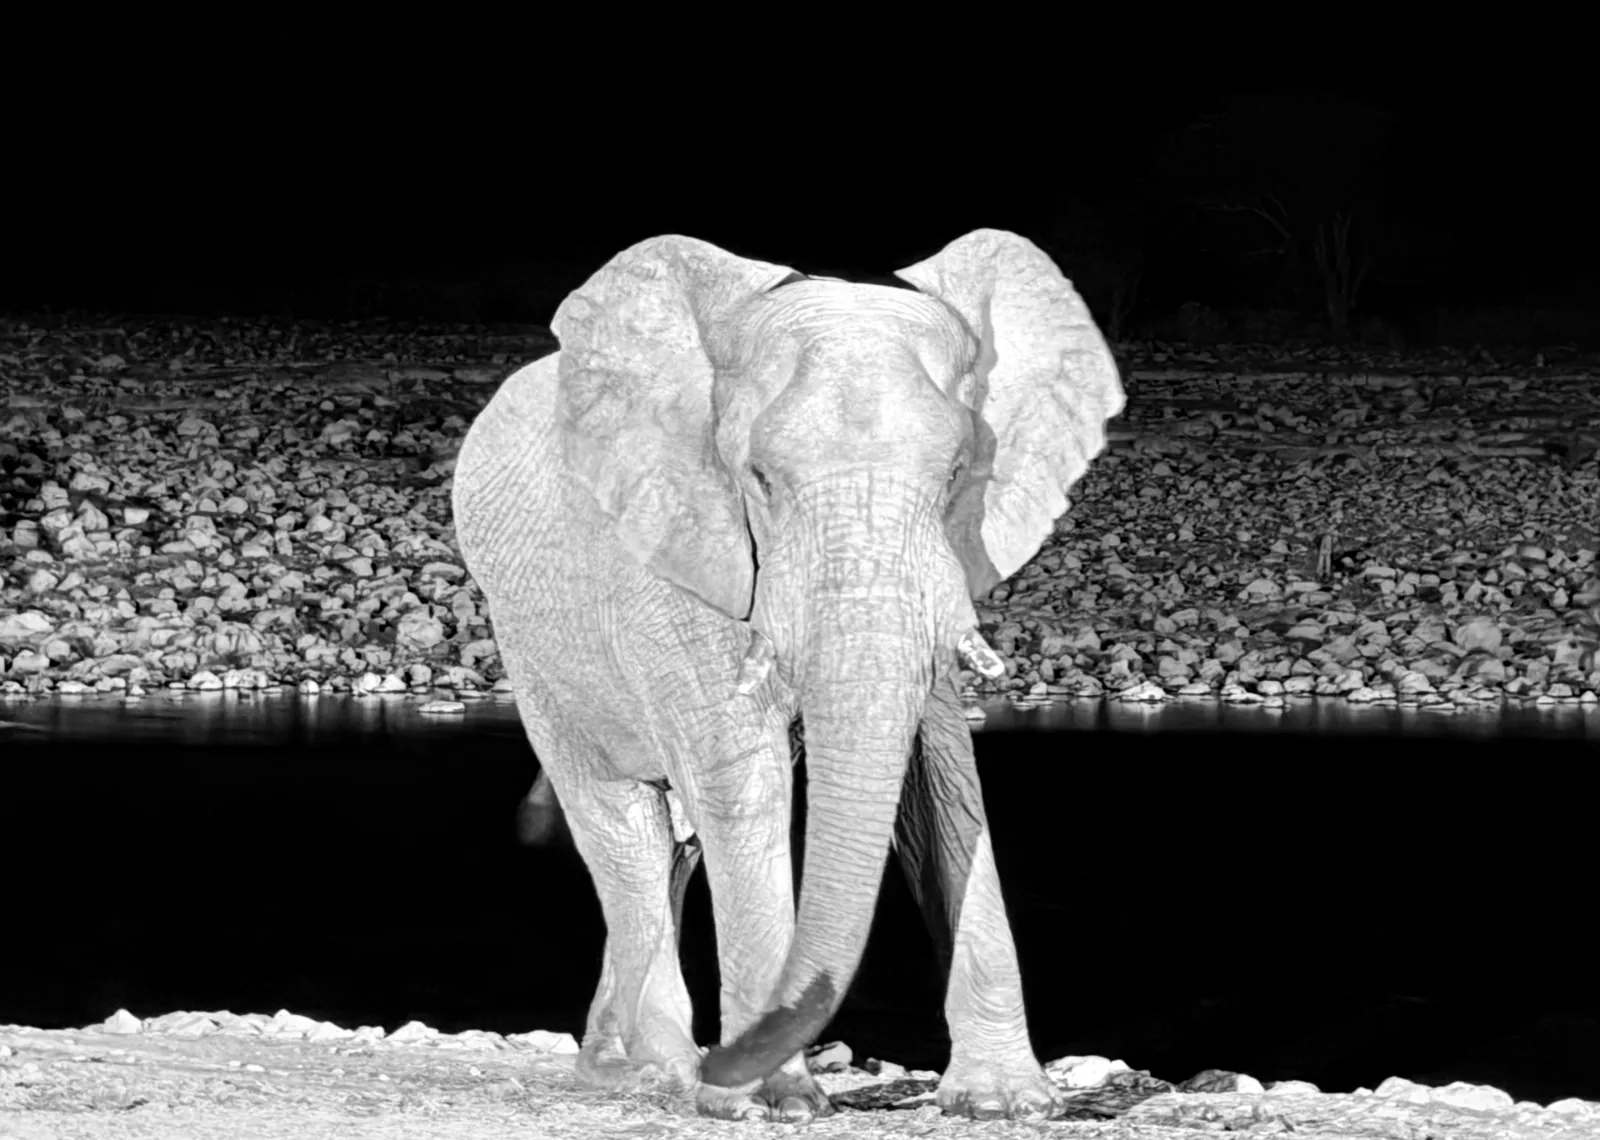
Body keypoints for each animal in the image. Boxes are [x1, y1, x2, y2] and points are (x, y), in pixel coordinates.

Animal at [451, 230, 1124, 1122]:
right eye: (760, 480)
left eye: (956, 476)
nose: (734, 1064)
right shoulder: (678, 546)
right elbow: (745, 783)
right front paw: (772, 1102)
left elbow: (943, 786)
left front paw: (1007, 1103)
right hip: (531, 645)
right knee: (621, 828)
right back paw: (660, 1073)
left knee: (675, 839)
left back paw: (624, 1066)